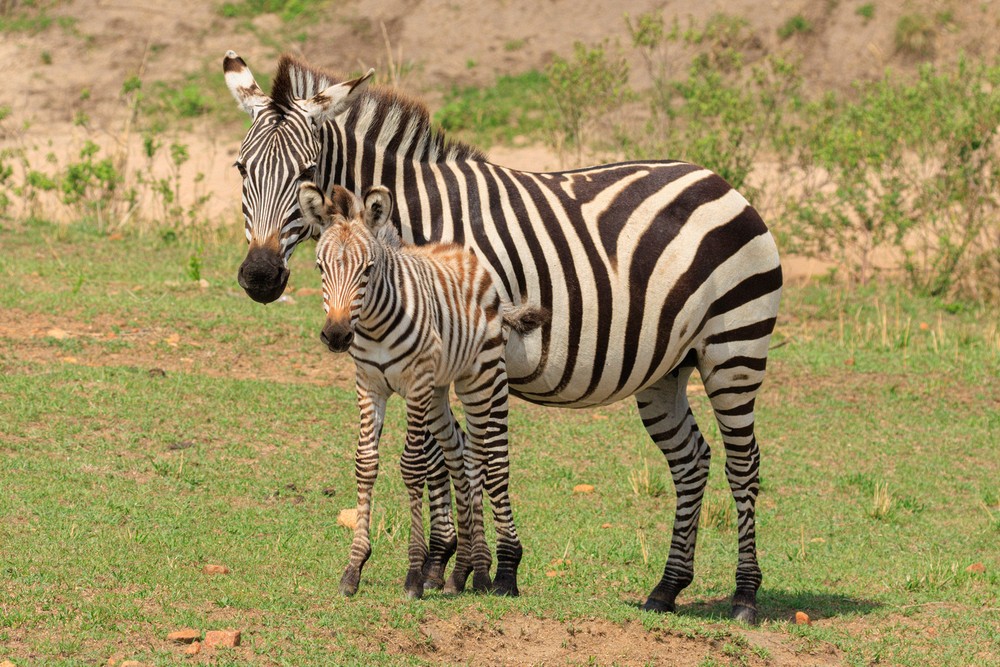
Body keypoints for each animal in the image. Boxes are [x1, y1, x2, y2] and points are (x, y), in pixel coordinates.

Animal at [302, 180, 547, 598]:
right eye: (321, 267)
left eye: (368, 270)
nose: (336, 335)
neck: (373, 324)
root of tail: (463, 252)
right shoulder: (369, 385)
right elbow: (365, 463)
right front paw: (354, 568)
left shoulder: (415, 384)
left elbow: (413, 466)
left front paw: (414, 573)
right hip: (437, 392)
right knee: (459, 457)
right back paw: (461, 572)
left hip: (479, 380)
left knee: (483, 460)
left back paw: (490, 574)